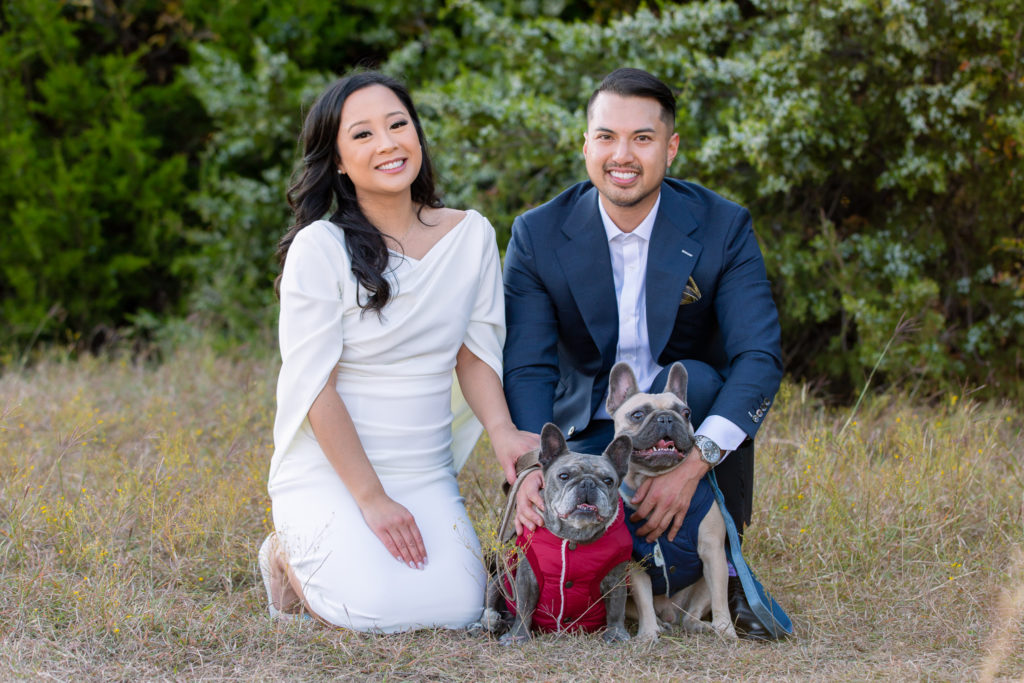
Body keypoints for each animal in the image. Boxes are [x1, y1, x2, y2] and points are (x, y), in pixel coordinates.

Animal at [483, 423, 634, 643]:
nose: (588, 483)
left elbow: (616, 607)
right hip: (498, 580)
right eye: (564, 476)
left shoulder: (616, 577)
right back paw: (492, 621)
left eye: (608, 480)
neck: (574, 534)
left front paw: (616, 634)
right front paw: (518, 636)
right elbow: (524, 609)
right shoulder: (526, 577)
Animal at [606, 362, 737, 643]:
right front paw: (647, 634)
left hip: (710, 576)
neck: (653, 478)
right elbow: (644, 600)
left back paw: (702, 626)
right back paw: (659, 625)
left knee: (692, 614)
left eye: (686, 413)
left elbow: (720, 598)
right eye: (637, 415)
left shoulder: (712, 552)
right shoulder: (637, 563)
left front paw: (725, 629)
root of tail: (670, 612)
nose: (666, 418)